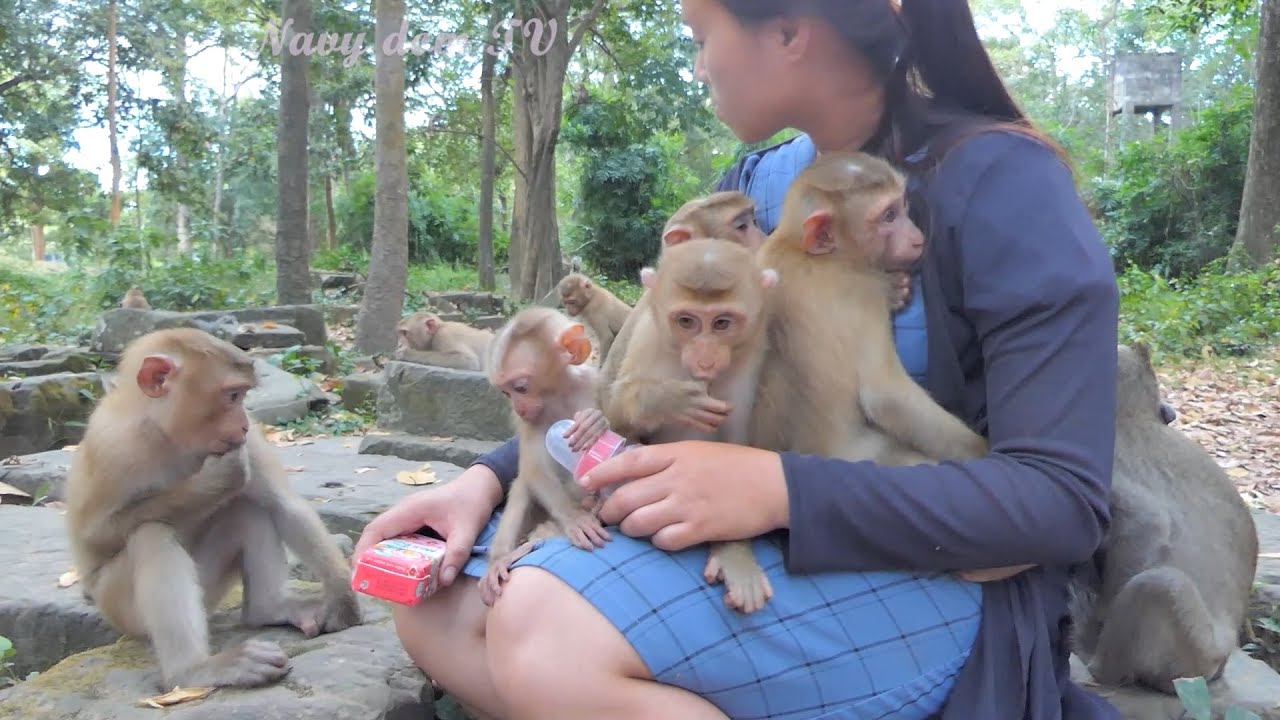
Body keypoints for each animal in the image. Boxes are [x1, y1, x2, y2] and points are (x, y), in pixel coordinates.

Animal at [63, 327, 362, 691]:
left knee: (247, 509)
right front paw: (218, 478)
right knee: (151, 533)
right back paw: (194, 670)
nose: (244, 424)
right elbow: (95, 536)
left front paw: (342, 595)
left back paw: (267, 608)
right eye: (231, 396)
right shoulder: (112, 447)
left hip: (207, 590)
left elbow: (281, 504)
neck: (164, 431)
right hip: (121, 609)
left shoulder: (249, 442)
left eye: (243, 396)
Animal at [478, 307, 614, 606]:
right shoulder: (529, 421)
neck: (557, 396)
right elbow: (534, 470)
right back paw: (503, 557)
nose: (518, 407)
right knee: (523, 487)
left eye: (521, 387)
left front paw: (595, 423)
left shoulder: (591, 384)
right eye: (506, 392)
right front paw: (574, 518)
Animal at [604, 237, 781, 613]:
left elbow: (733, 446)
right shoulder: (647, 337)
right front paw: (668, 400)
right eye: (686, 321)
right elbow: (613, 407)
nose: (705, 359)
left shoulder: (751, 357)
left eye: (722, 323)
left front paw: (733, 554)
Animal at [1066, 343, 1258, 694]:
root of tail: (1218, 663)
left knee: (1160, 585)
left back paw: (1097, 662)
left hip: (1189, 658)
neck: (1130, 417)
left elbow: (1149, 527)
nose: (1170, 410)